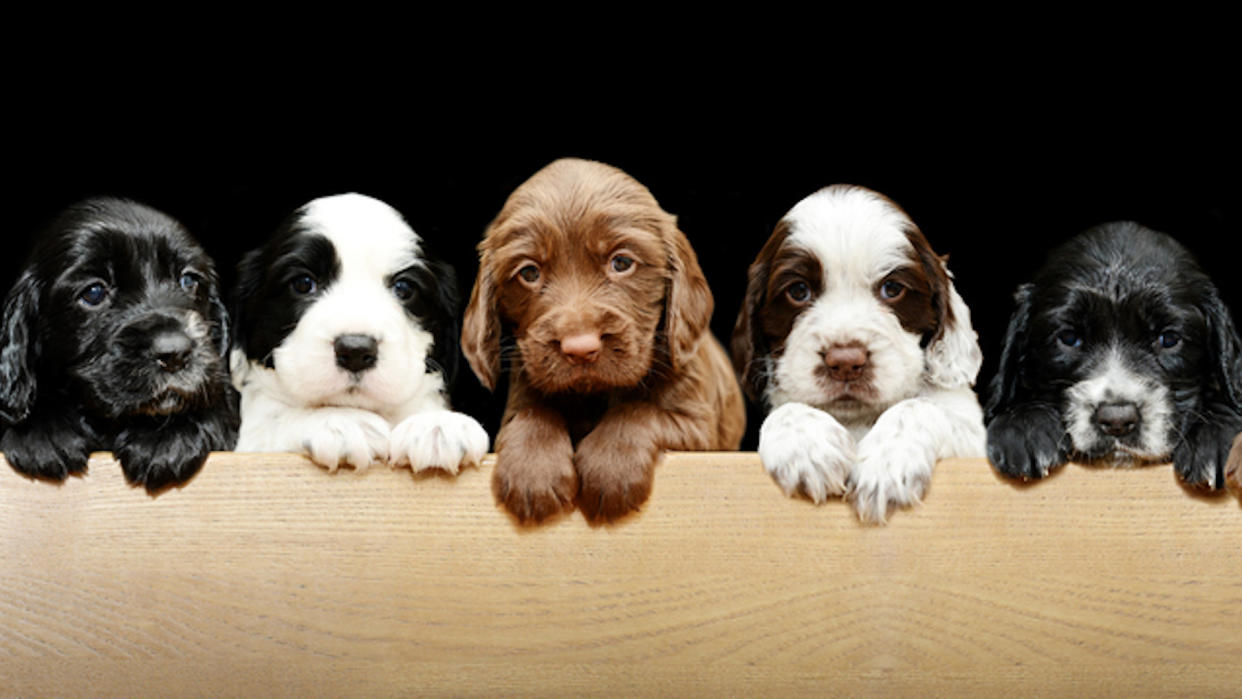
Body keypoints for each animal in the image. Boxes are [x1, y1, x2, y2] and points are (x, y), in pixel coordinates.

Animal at [231, 193, 486, 474]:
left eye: (404, 288)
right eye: (303, 283)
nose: (355, 350)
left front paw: (437, 425)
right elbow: (272, 418)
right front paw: (338, 420)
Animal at [462, 155, 740, 521]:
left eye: (621, 262)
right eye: (529, 273)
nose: (580, 349)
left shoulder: (701, 427)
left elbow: (638, 411)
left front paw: (611, 468)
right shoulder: (520, 396)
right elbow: (533, 412)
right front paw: (533, 471)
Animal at [730, 186, 983, 526]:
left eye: (892, 288)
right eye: (798, 291)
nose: (846, 362)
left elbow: (920, 407)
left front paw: (887, 465)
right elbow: (789, 409)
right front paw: (809, 447)